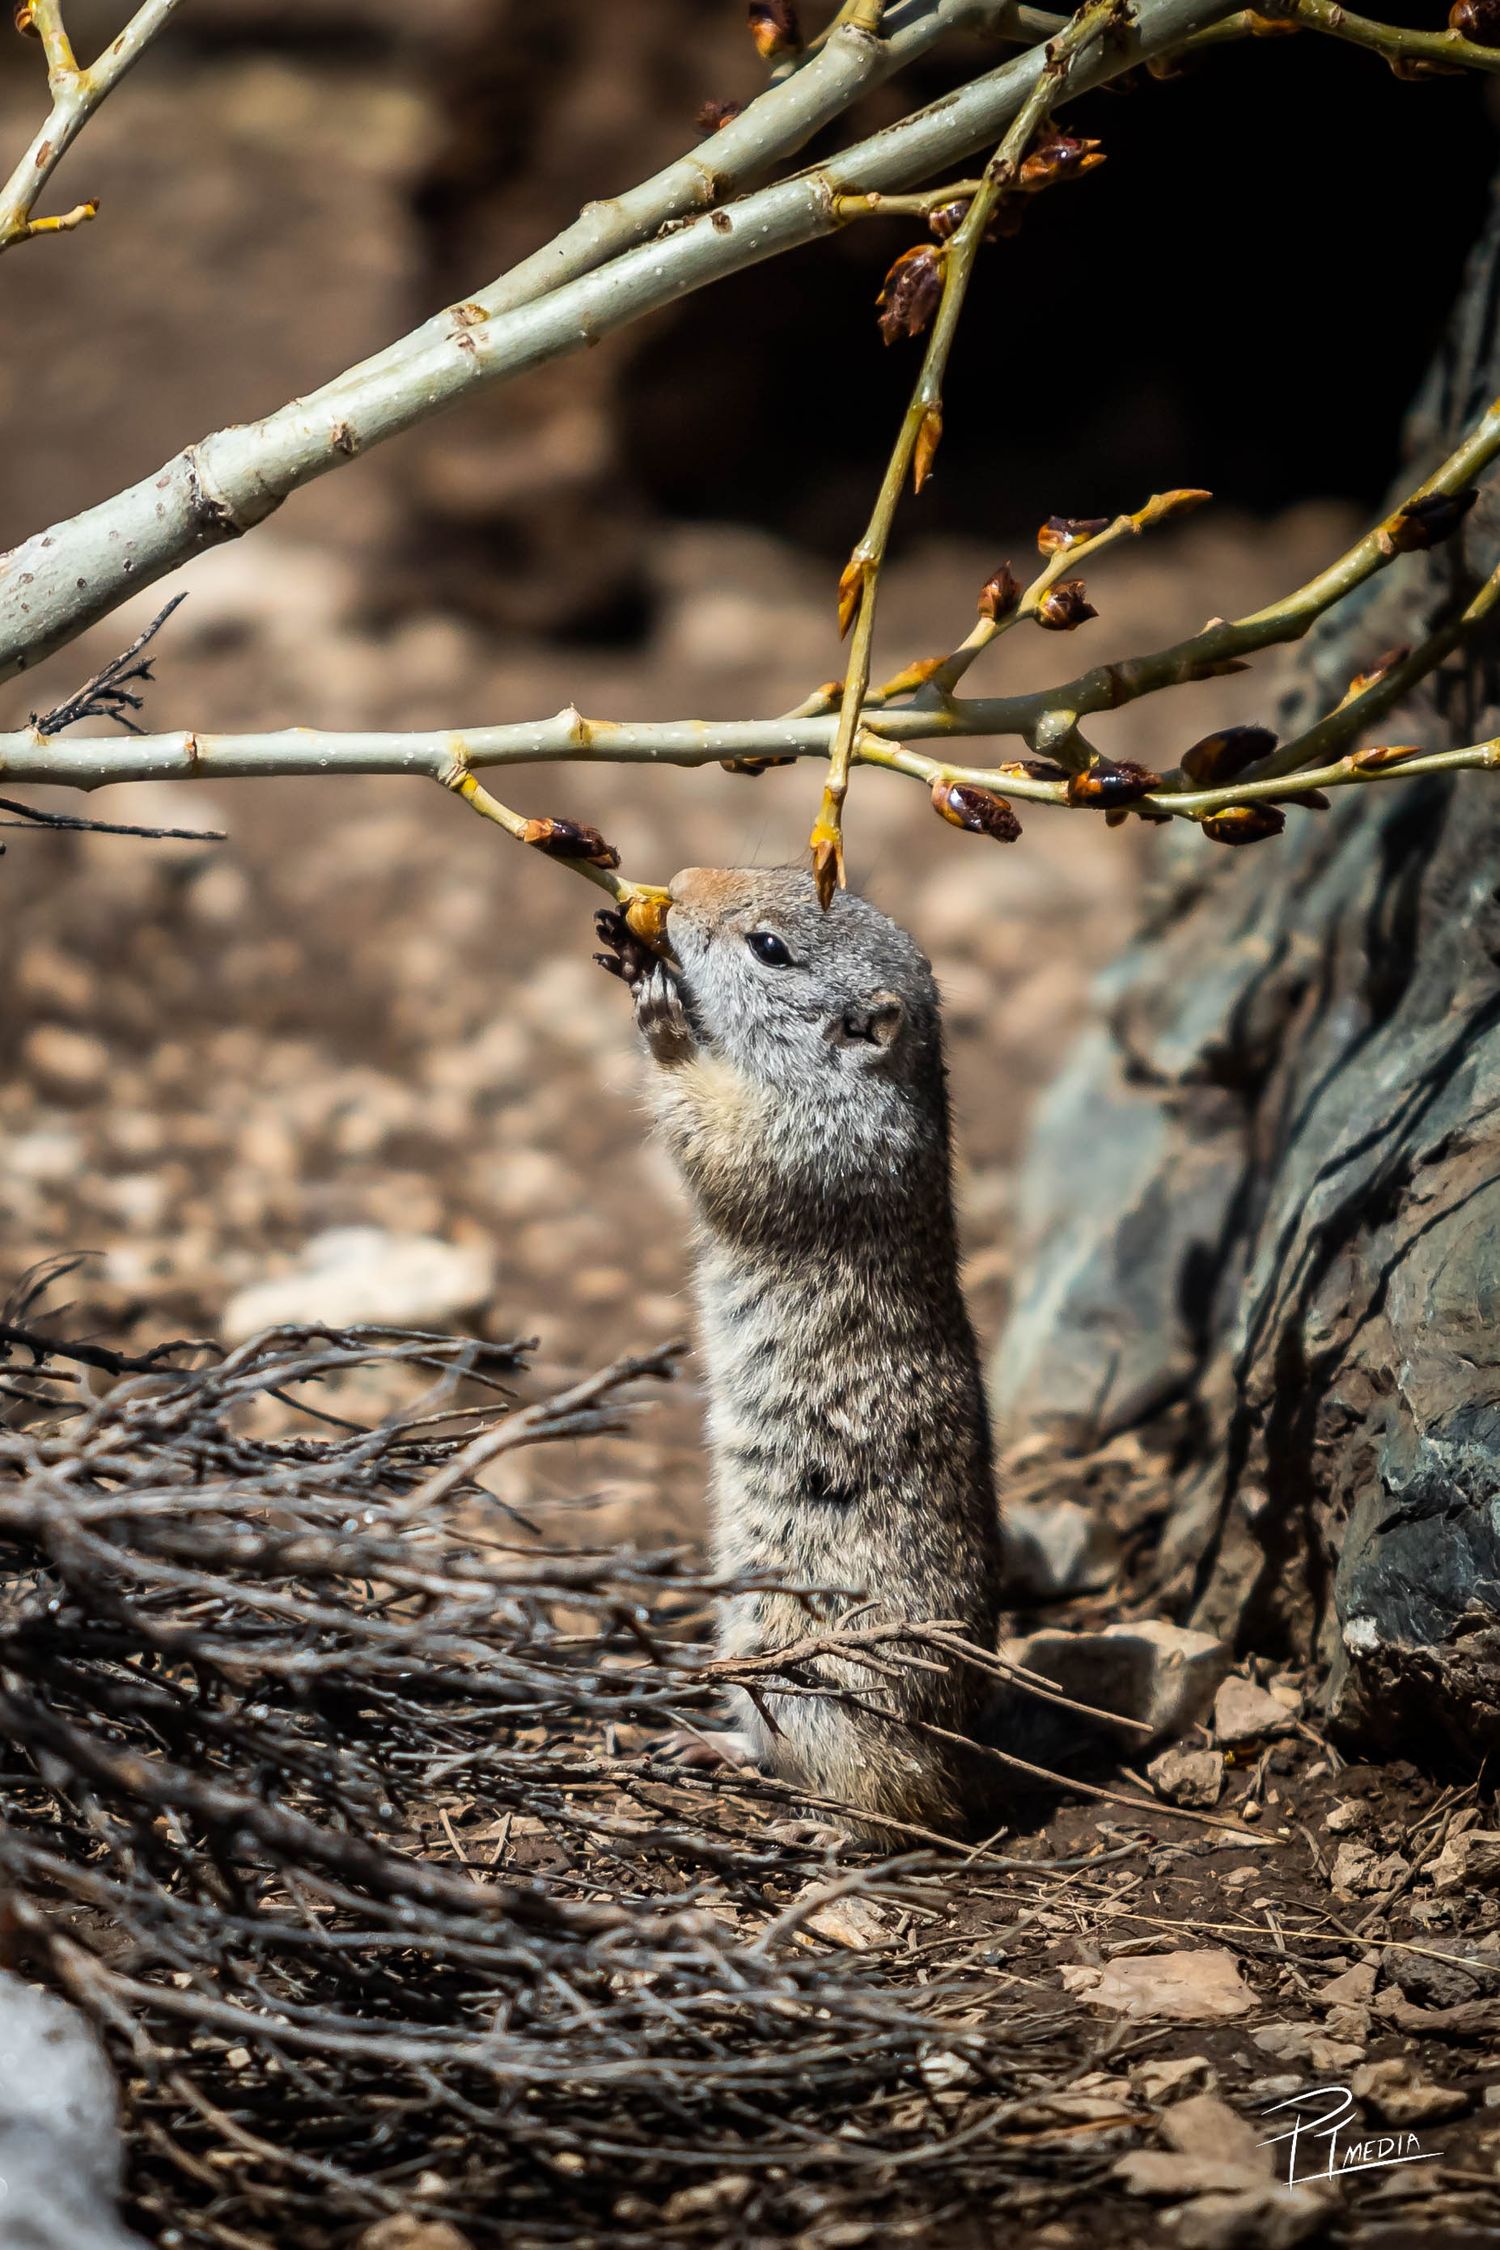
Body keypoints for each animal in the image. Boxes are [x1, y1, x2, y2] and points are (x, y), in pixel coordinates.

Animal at [596, 866, 1008, 1839]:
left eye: (771, 948)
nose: (676, 885)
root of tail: (965, 1765)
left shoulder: (803, 1137)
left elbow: (714, 1133)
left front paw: (663, 1016)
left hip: (813, 1675)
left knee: (896, 1804)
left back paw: (823, 1826)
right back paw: (709, 1746)